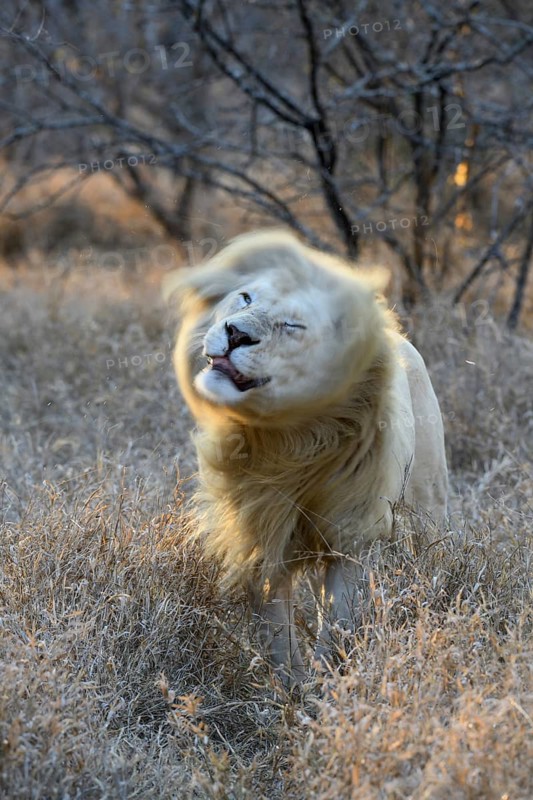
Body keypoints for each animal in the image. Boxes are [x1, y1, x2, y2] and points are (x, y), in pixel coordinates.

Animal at [165, 230, 448, 687]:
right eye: (245, 298)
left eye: (292, 326)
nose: (235, 333)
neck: (284, 439)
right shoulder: (261, 528)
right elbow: (276, 629)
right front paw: (290, 686)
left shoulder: (353, 534)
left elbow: (339, 621)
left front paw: (328, 681)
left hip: (428, 508)